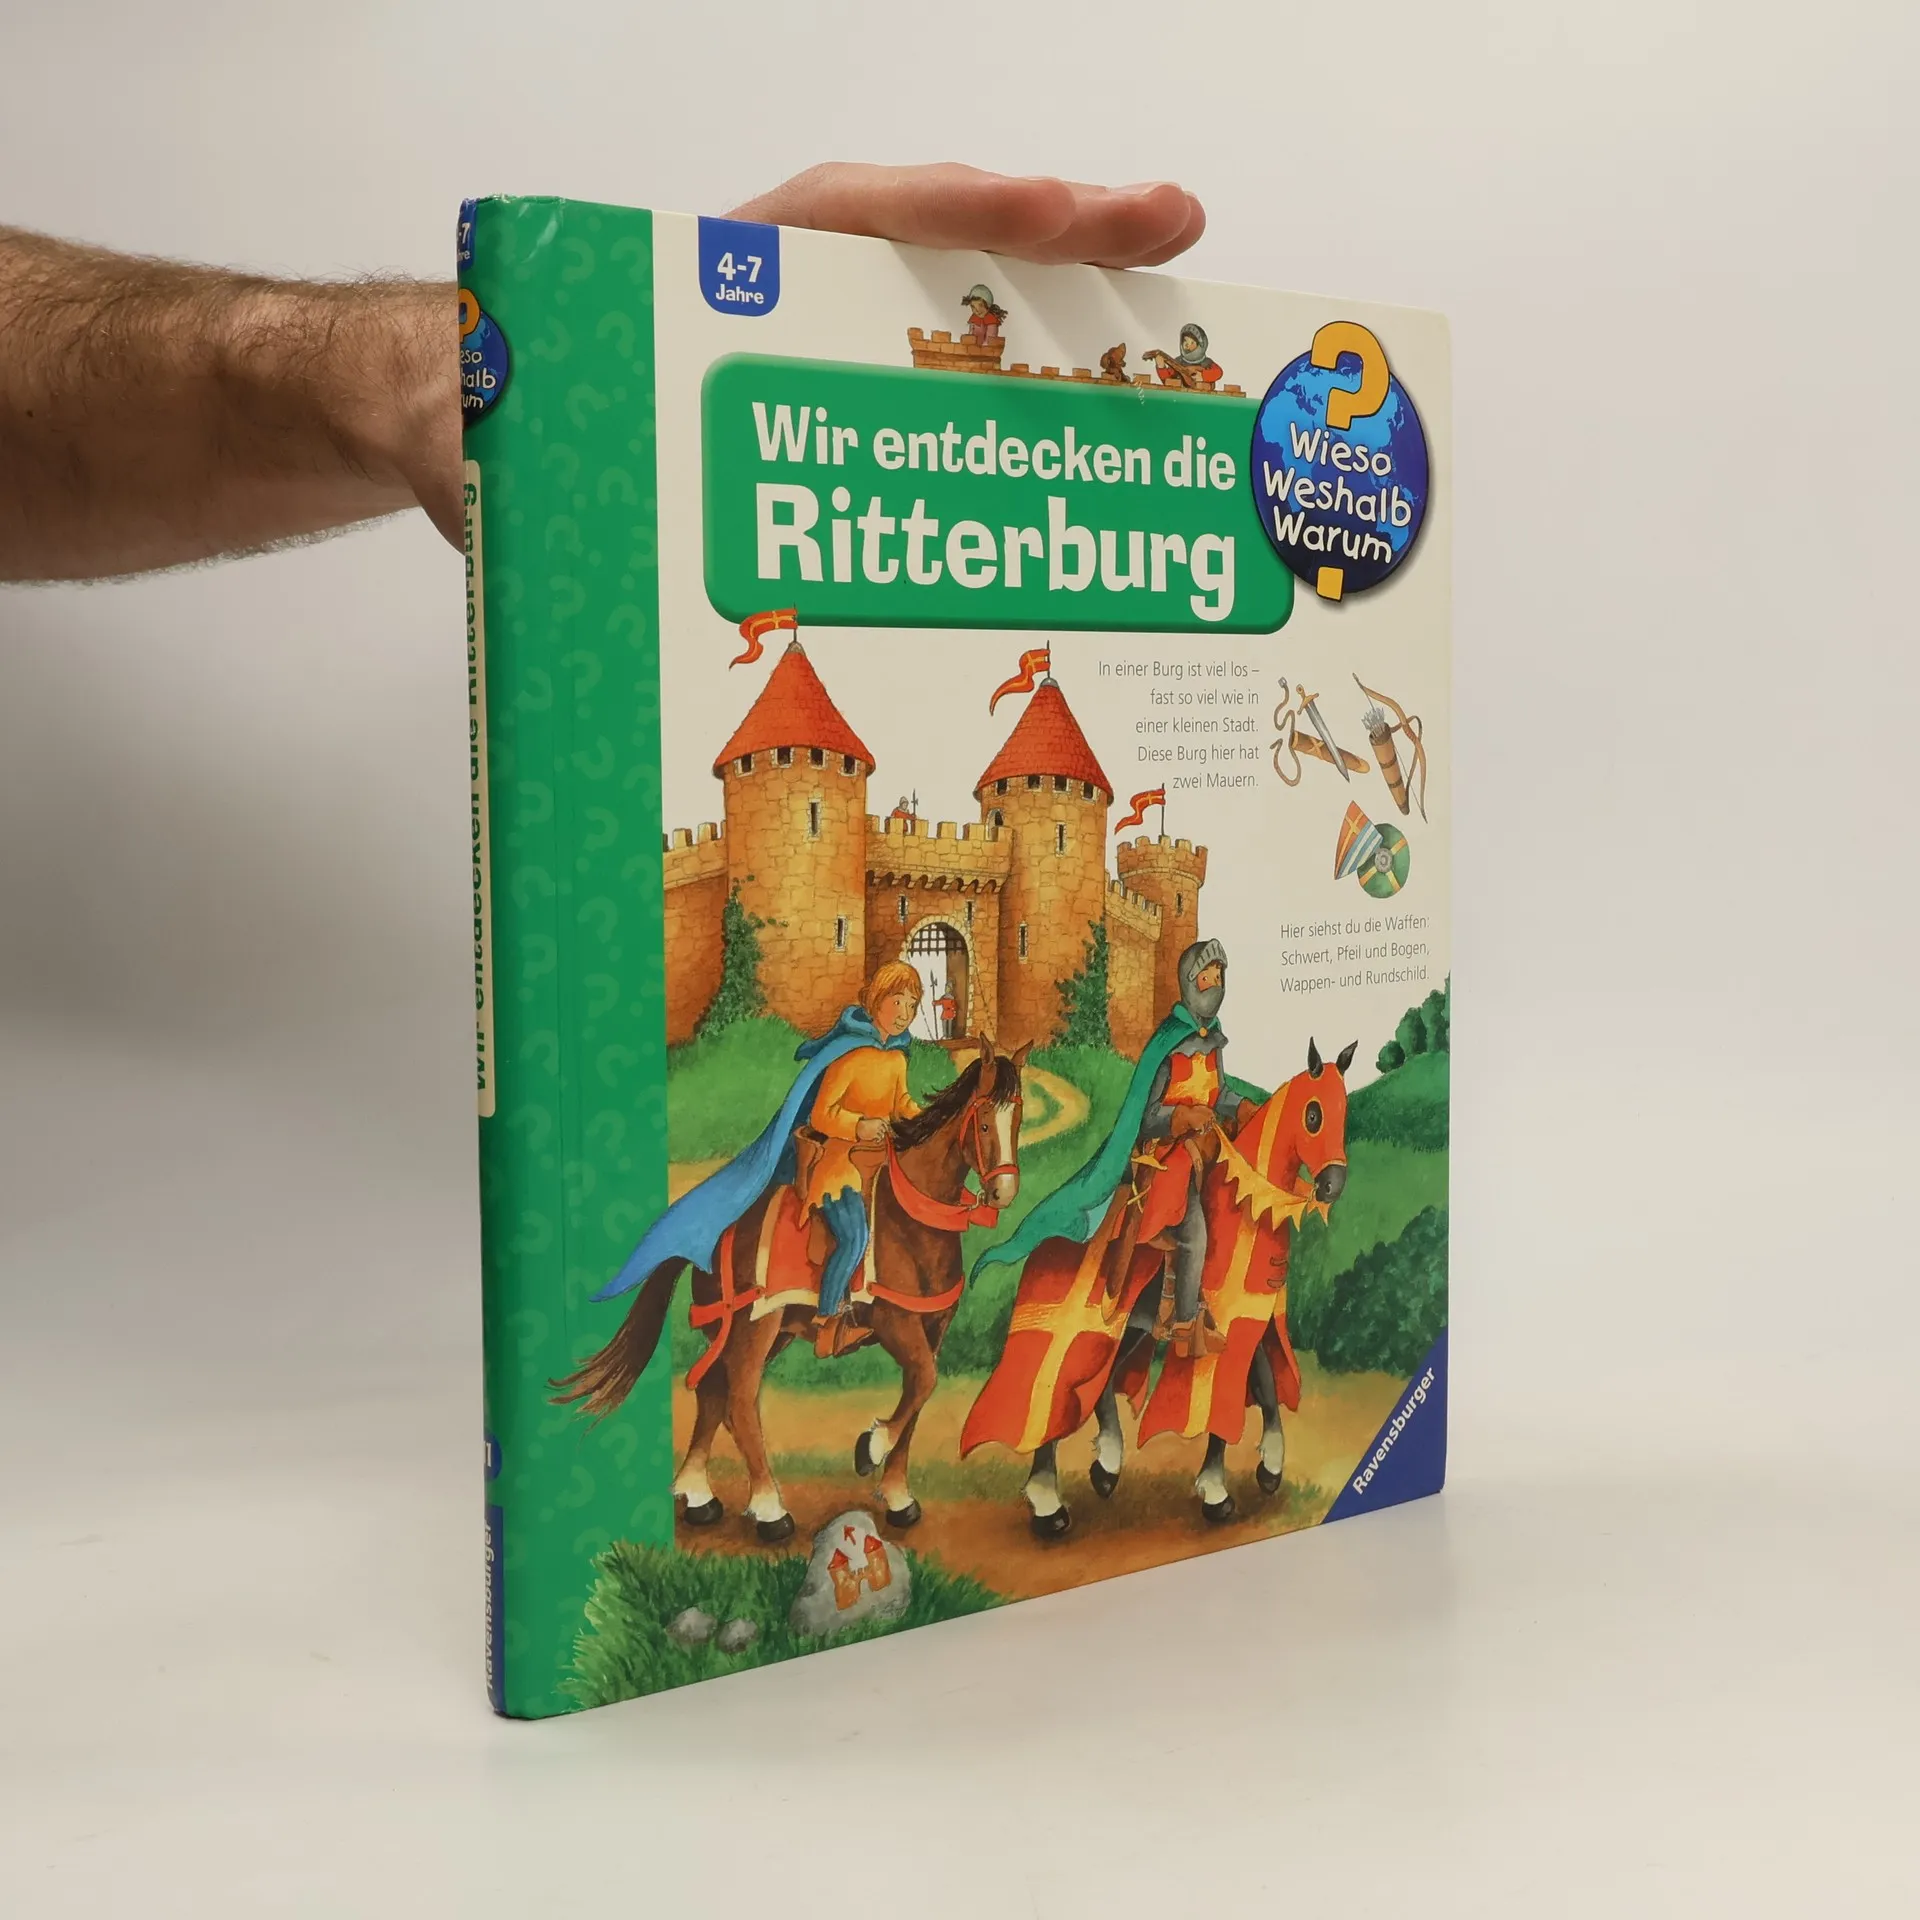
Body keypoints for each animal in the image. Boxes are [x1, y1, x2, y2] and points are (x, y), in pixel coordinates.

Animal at [552, 1040, 1026, 1542]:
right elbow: (923, 1384)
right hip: (754, 1328)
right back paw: (768, 1509)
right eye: (982, 1121)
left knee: (712, 1393)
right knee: (740, 1402)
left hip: (761, 1332)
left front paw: (898, 1497)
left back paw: (699, 1496)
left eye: (1017, 1117)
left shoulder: (934, 1327)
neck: (909, 1219)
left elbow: (918, 1399)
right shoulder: (895, 1323)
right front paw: (870, 1446)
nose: (1003, 1191)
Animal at [968, 1038, 1352, 1537]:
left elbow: (1266, 1386)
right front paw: (1216, 1491)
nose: (1332, 1186)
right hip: (1072, 1339)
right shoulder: (1222, 1333)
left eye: (1344, 1111)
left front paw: (1269, 1467)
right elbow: (1222, 1405)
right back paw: (1048, 1504)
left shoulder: (1256, 1319)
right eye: (1313, 1115)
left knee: (1101, 1385)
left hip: (1130, 1329)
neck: (1244, 1208)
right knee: (1051, 1408)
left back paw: (1107, 1466)